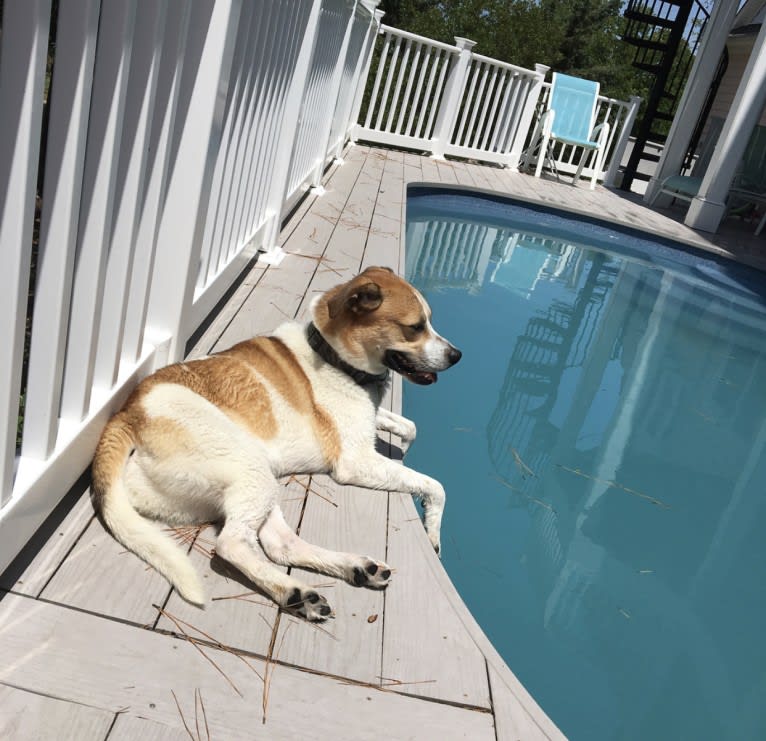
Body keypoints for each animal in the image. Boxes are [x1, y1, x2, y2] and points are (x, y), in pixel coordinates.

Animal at [90, 266, 462, 620]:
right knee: (232, 545)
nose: (457, 355)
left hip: (257, 481)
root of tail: (128, 413)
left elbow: (409, 428)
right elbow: (436, 485)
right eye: (415, 327)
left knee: (281, 546)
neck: (331, 355)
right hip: (251, 470)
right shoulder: (355, 461)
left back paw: (351, 570)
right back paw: (294, 592)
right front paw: (432, 535)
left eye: (429, 322)